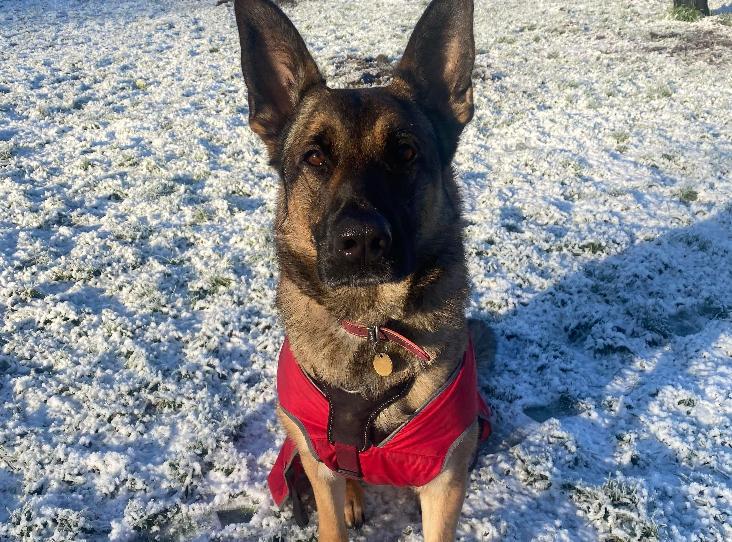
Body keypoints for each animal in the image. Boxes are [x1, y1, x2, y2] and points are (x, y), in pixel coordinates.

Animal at [234, 0, 480, 540]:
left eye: (405, 153)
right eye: (314, 157)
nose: (362, 241)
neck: (371, 327)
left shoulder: (444, 479)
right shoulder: (317, 462)